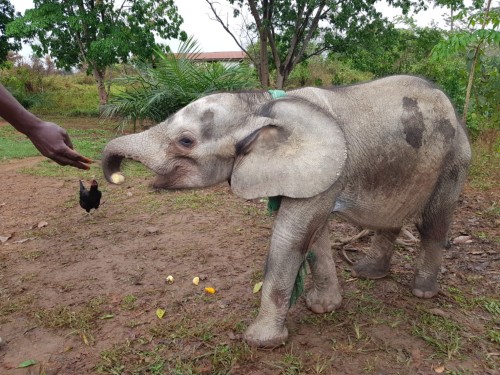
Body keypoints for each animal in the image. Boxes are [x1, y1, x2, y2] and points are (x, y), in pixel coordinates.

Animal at [102, 75, 472, 348]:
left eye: (186, 141)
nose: (115, 175)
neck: (261, 103)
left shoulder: (329, 168)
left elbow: (290, 236)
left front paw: (260, 342)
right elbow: (314, 234)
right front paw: (323, 308)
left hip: (454, 160)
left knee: (435, 222)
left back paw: (422, 291)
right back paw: (368, 273)